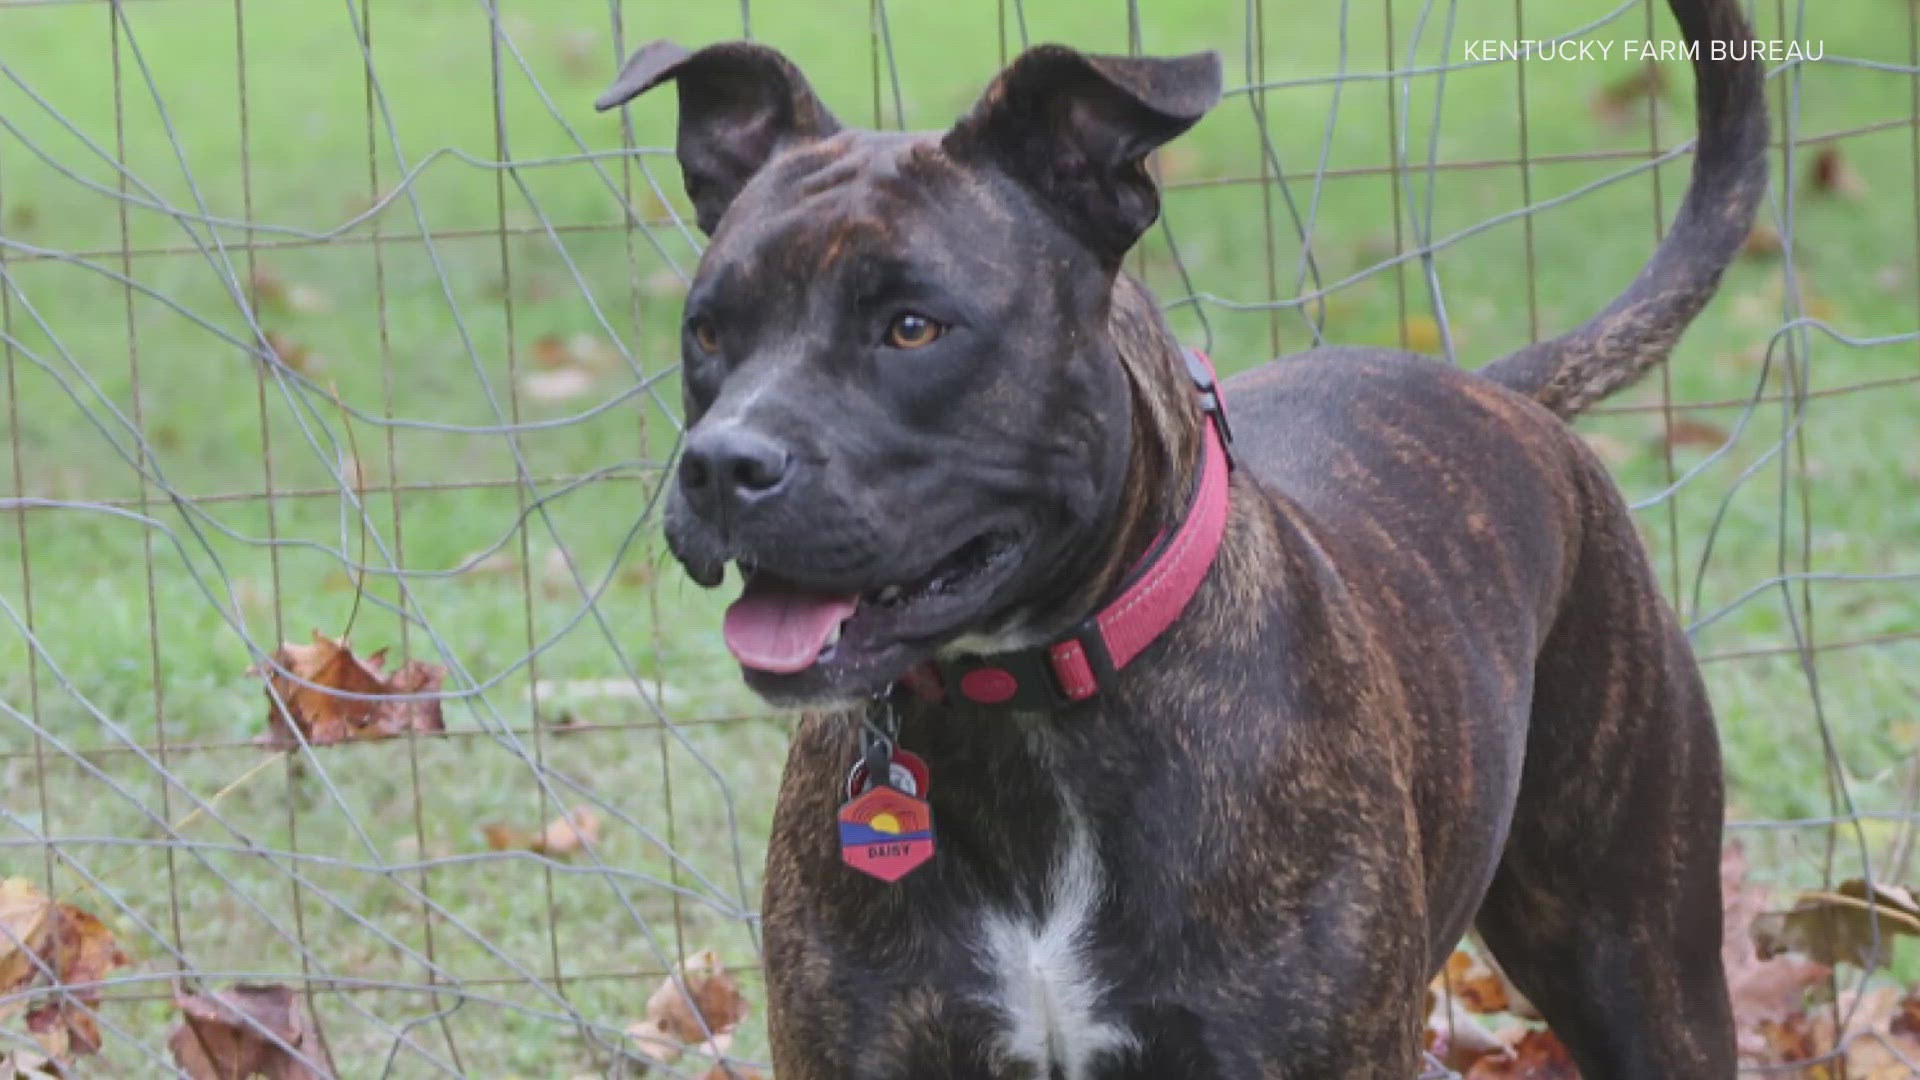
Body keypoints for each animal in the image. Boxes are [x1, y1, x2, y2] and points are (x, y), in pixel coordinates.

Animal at [599, 0, 1766, 1068]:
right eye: (708, 331)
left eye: (913, 328)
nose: (721, 464)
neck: (1025, 708)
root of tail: (1498, 390)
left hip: (1641, 964)